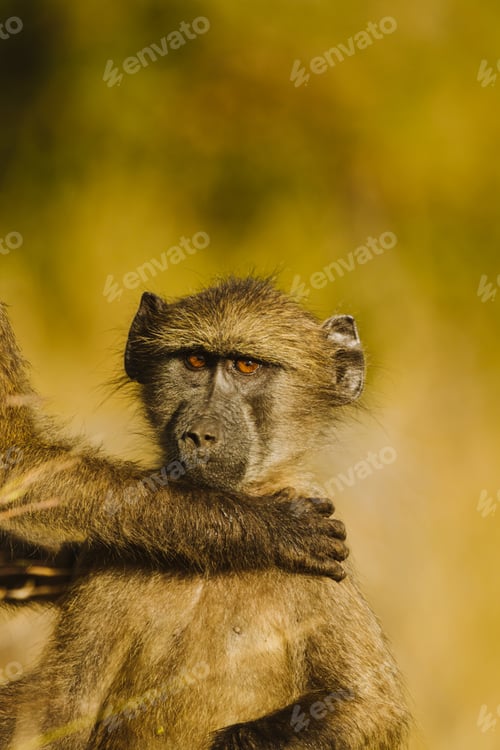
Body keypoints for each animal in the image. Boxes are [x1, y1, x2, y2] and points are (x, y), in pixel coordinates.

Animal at [0, 277, 410, 748]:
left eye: (247, 365)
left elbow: (369, 706)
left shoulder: (324, 580)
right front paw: (268, 531)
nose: (200, 434)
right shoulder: (105, 565)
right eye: (195, 361)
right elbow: (64, 704)